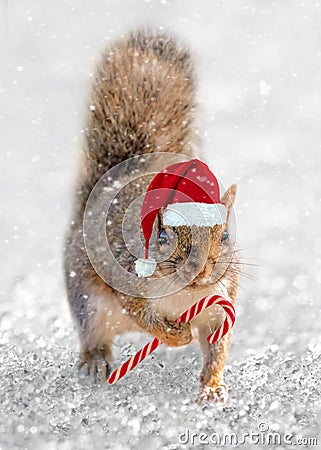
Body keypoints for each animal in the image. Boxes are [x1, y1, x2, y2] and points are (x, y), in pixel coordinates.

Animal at [63, 30, 239, 404]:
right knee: (93, 334)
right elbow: (147, 319)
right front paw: (179, 336)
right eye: (162, 237)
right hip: (89, 303)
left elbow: (217, 348)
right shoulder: (128, 285)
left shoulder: (220, 304)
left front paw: (212, 387)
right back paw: (94, 361)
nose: (201, 269)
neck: (182, 295)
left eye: (225, 236)